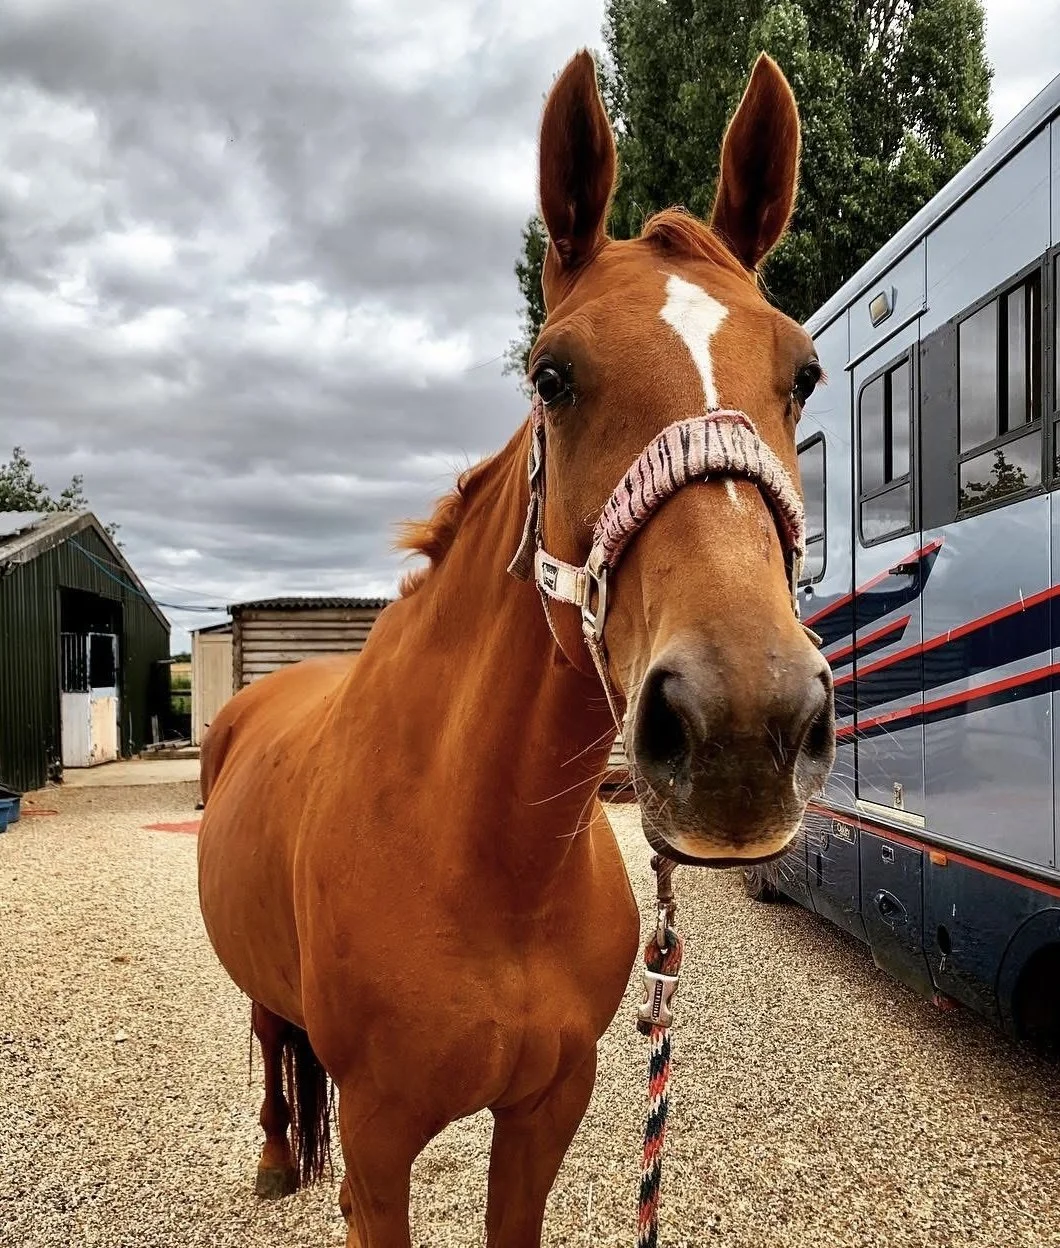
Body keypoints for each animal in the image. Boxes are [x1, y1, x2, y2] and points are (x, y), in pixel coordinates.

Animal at [197, 49, 835, 1247]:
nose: (744, 728)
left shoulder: (547, 1111)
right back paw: (269, 1155)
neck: (488, 864)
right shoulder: (379, 1148)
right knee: (267, 1034)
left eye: (804, 374)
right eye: (553, 375)